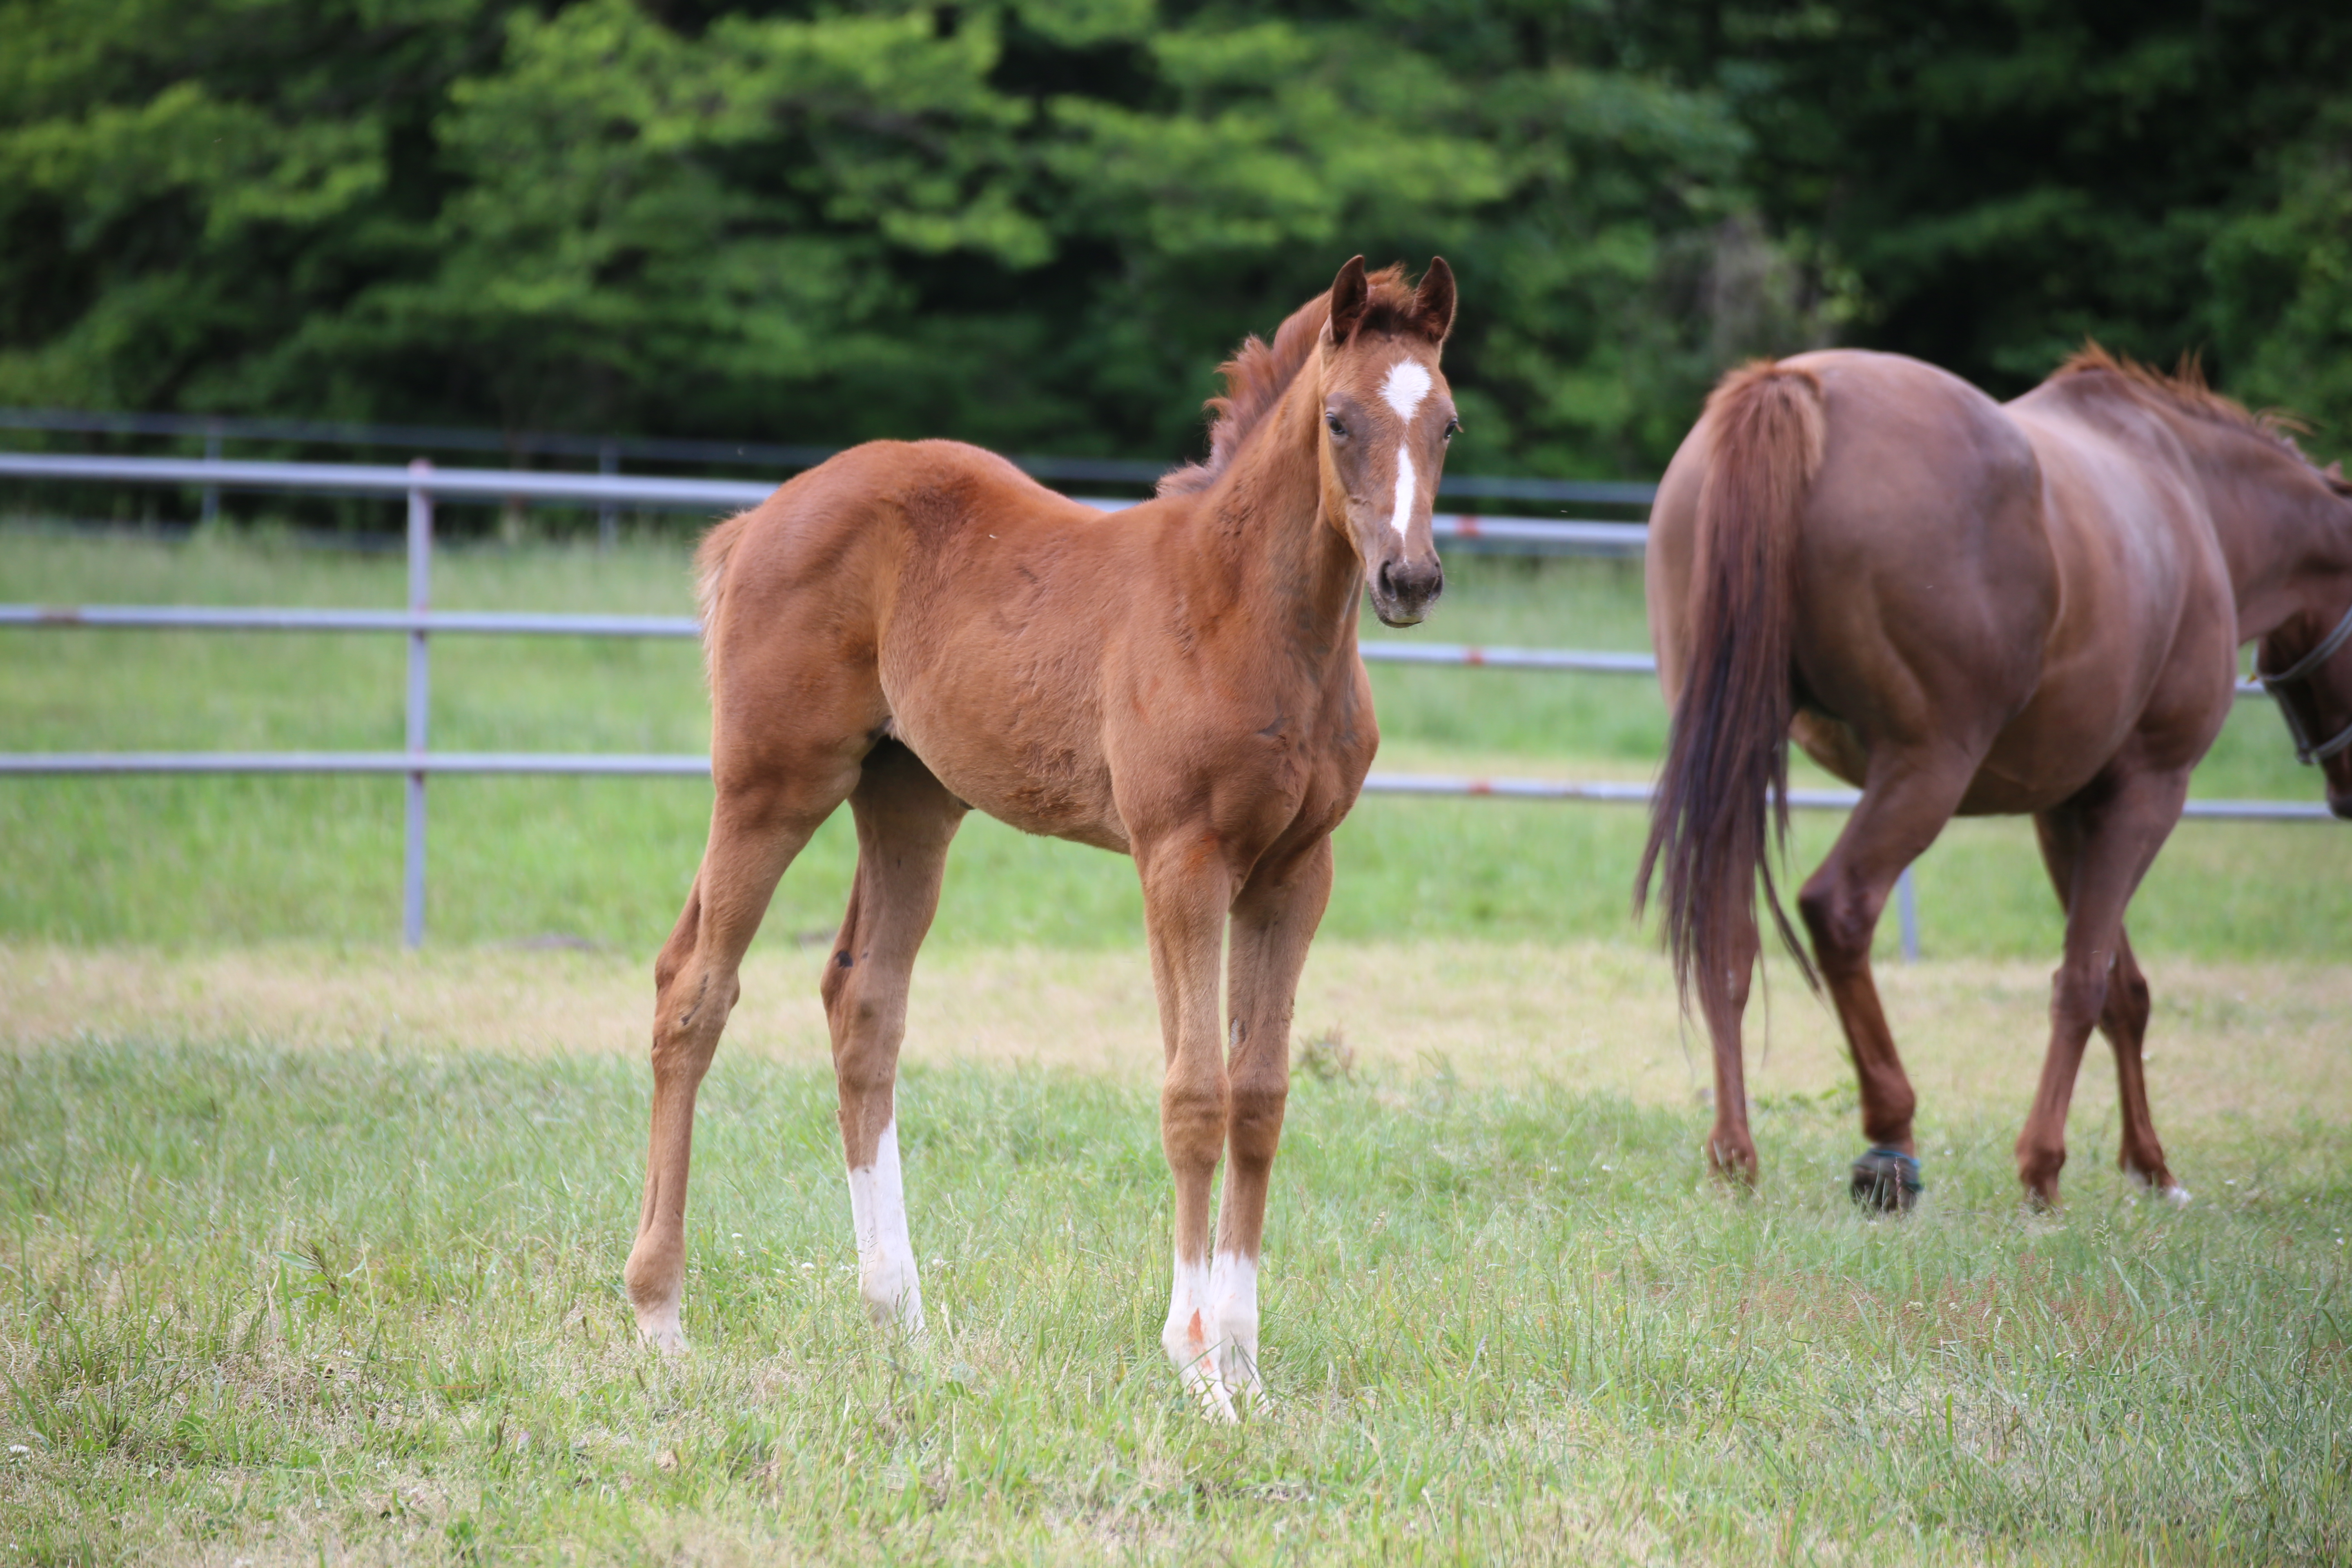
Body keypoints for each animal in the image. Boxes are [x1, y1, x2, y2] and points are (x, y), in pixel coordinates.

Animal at [626, 257, 1468, 1410]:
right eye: (1339, 420)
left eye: (1447, 425)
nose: (1409, 580)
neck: (1244, 616)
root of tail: (759, 518)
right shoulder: (1181, 860)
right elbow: (1194, 1094)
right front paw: (1196, 1362)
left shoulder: (1297, 872)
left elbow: (1259, 1096)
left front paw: (1247, 1367)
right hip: (770, 783)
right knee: (694, 990)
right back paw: (660, 1317)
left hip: (909, 799)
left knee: (862, 1004)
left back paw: (901, 1320)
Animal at [1646, 343, 2342, 1213]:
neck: (2193, 496)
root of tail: (1792, 384)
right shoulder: (2148, 792)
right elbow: (2083, 980)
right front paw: (2045, 1167)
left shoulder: (2067, 810)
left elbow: (2124, 989)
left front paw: (2150, 1164)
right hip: (1927, 768)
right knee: (1838, 908)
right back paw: (1890, 1142)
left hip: (1742, 752)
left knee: (1727, 941)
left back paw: (1736, 1158)